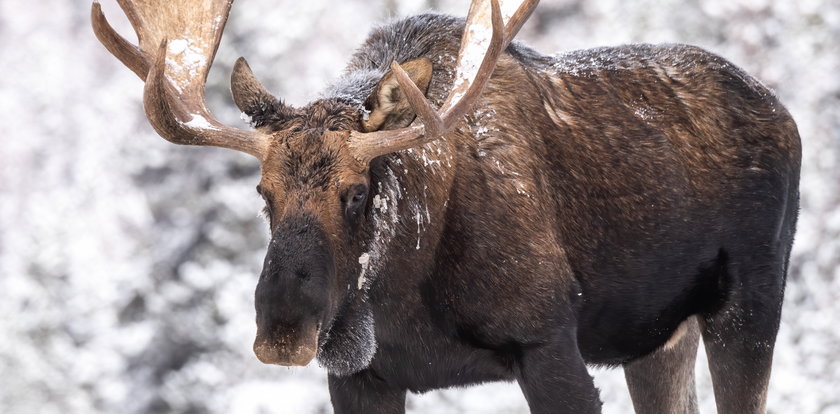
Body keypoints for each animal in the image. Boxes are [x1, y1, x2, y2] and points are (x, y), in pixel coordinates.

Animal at [90, 0, 800, 412]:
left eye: (357, 191)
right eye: (263, 193)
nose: (284, 330)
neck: (410, 292)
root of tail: (784, 113)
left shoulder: (549, 342)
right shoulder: (360, 379)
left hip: (751, 303)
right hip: (656, 339)